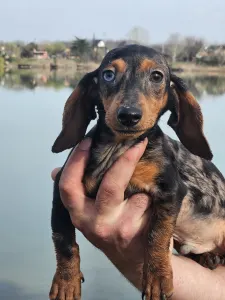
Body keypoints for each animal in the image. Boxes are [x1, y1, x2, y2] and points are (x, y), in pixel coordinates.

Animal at [49, 45, 225, 300]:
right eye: (108, 74)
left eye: (157, 76)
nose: (129, 115)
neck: (118, 147)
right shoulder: (60, 190)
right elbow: (63, 240)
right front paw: (65, 280)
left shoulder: (172, 191)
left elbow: (157, 235)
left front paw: (157, 276)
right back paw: (208, 257)